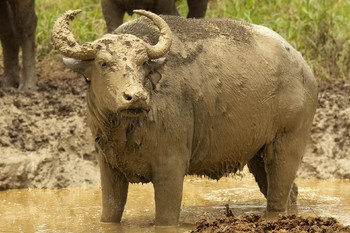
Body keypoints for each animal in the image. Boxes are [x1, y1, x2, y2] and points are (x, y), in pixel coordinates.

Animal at [51, 10, 318, 227]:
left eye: (143, 63)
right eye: (103, 63)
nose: (136, 97)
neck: (126, 131)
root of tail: (304, 69)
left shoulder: (171, 167)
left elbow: (166, 218)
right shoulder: (109, 168)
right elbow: (110, 213)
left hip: (287, 144)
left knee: (278, 197)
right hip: (258, 155)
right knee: (290, 192)